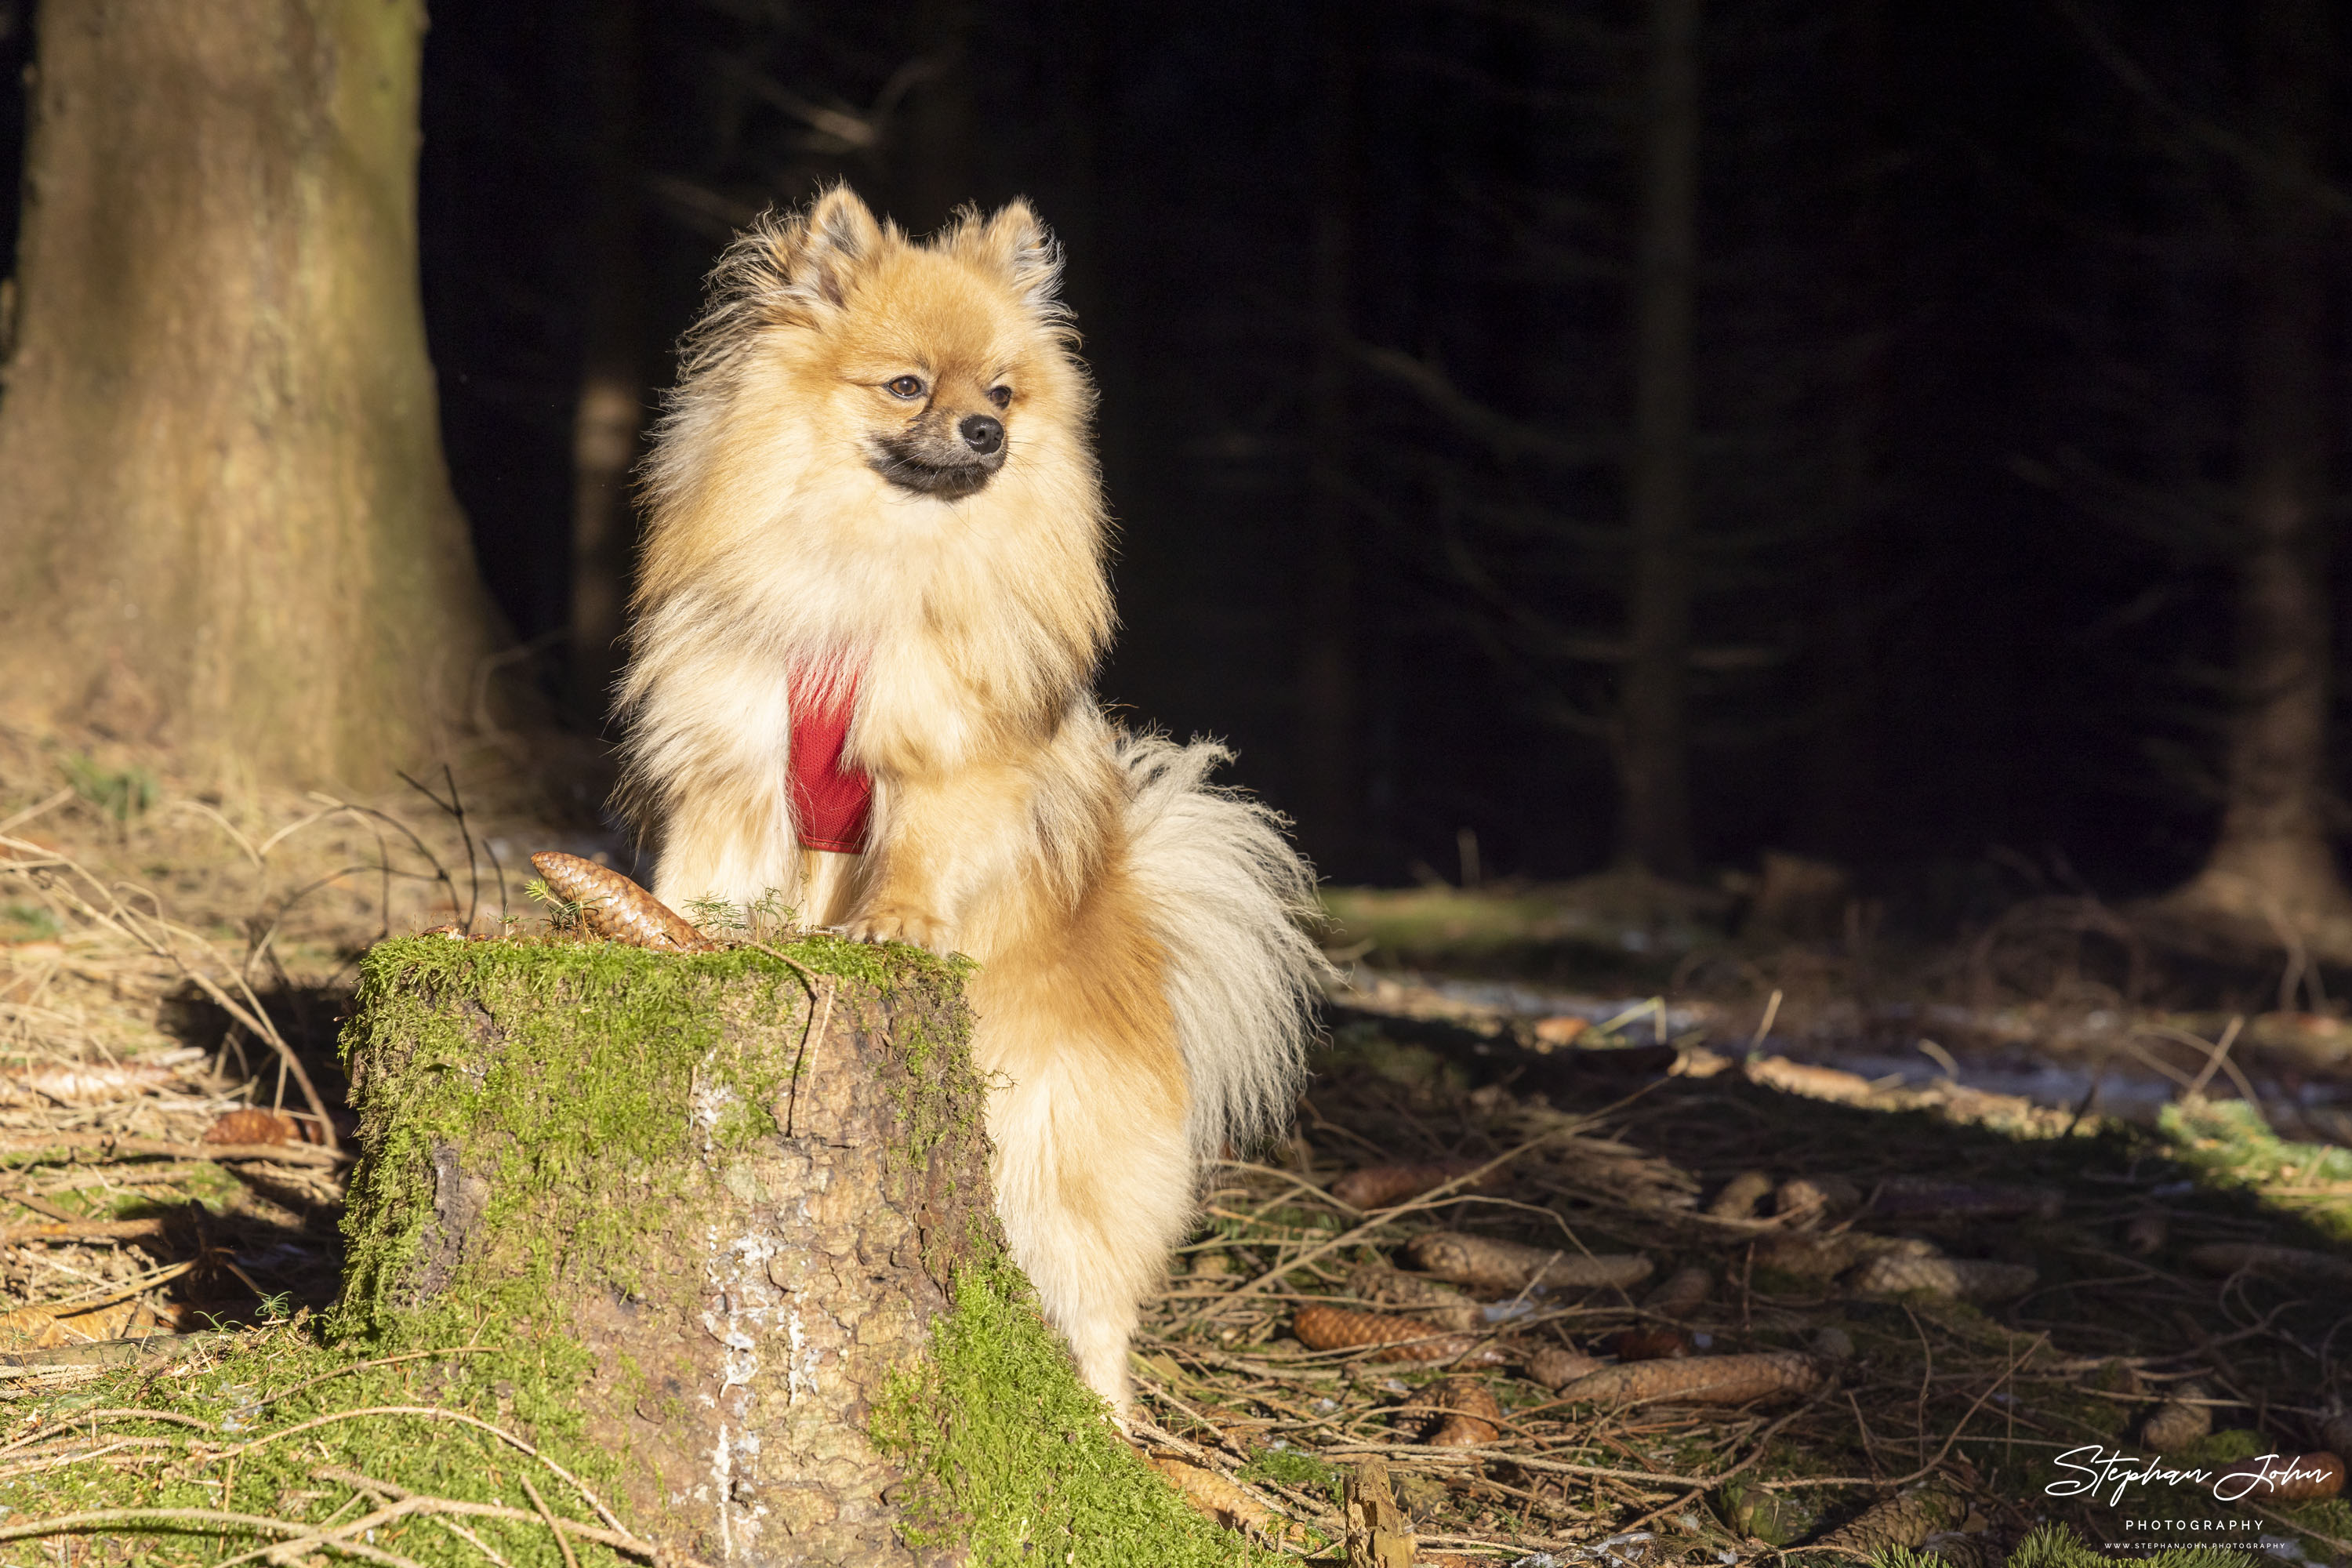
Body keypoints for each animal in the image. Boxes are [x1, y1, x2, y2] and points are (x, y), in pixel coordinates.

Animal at [616, 184, 1336, 1410]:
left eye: (1000, 393)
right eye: (909, 386)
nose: (989, 433)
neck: (875, 562)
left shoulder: (944, 754)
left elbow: (920, 847)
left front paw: (895, 924)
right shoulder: (736, 754)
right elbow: (706, 867)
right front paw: (676, 927)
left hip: (1058, 1163)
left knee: (1096, 1309)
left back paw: (1110, 1424)